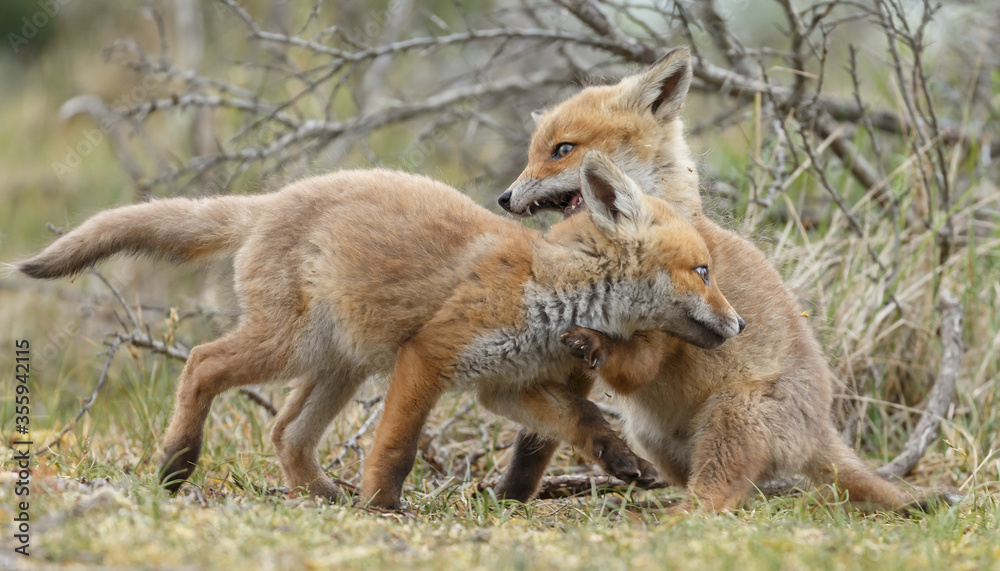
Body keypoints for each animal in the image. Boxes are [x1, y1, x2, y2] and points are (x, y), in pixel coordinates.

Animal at [15, 150, 744, 511]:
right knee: (200, 362)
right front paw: (385, 504)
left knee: (285, 432)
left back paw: (320, 495)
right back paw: (177, 462)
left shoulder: (509, 386)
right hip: (290, 347)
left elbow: (585, 422)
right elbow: (396, 443)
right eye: (703, 270)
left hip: (344, 364)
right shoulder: (431, 356)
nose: (739, 323)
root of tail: (271, 199)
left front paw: (622, 463)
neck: (549, 293)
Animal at [494, 47, 953, 513]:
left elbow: (631, 368)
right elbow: (539, 435)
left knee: (714, 497)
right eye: (533, 153)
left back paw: (670, 519)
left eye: (563, 149)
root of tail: (822, 429)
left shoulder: (665, 329)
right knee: (735, 493)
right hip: (655, 436)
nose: (504, 198)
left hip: (730, 415)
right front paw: (510, 497)